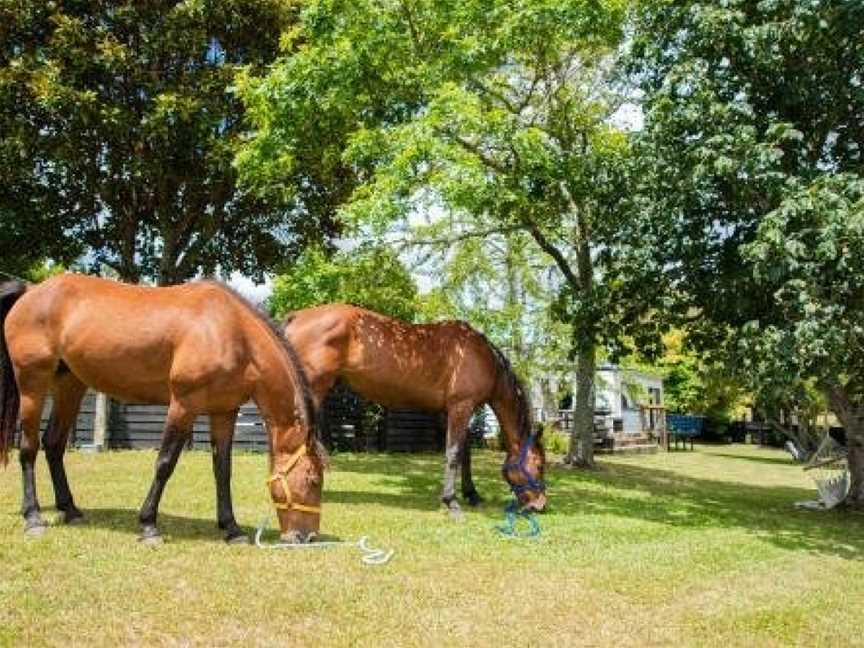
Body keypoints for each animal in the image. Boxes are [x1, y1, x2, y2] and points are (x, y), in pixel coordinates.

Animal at [0, 276, 324, 544]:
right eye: (313, 479)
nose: (305, 537)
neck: (230, 330)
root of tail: (31, 291)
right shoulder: (184, 404)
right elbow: (165, 462)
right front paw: (148, 526)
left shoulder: (224, 411)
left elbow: (222, 470)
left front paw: (232, 529)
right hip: (32, 383)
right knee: (28, 448)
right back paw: (33, 518)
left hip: (70, 385)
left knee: (53, 444)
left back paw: (71, 510)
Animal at [286, 304, 552, 516]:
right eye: (539, 465)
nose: (540, 505)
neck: (480, 356)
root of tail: (297, 317)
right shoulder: (461, 407)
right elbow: (453, 453)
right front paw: (451, 501)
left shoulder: (454, 411)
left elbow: (464, 453)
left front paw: (472, 494)